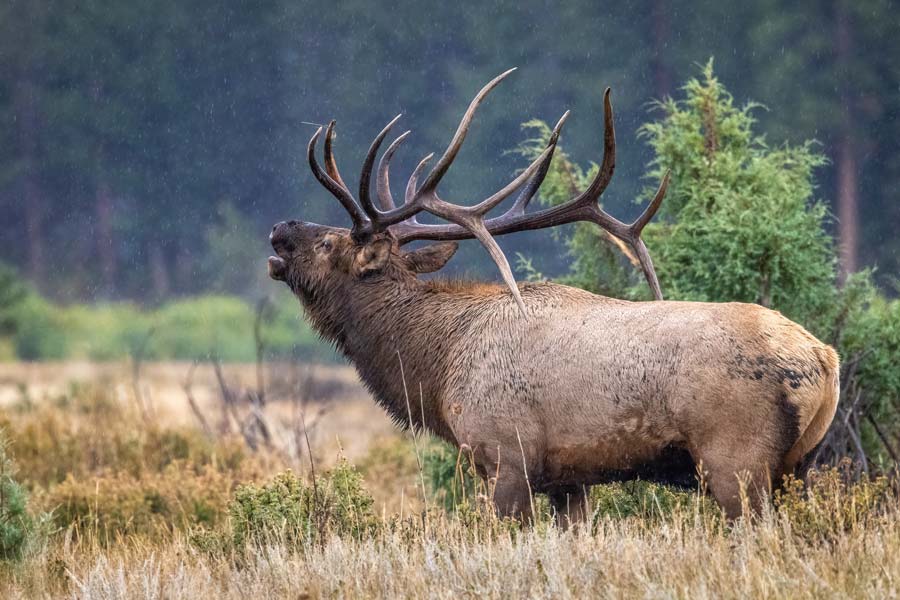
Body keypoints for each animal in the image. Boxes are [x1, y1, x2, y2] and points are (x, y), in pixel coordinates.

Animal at [268, 69, 839, 522]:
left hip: (735, 458)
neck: (437, 367)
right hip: (801, 465)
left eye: (329, 242)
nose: (279, 229)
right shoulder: (569, 478)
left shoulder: (506, 455)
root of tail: (823, 359)